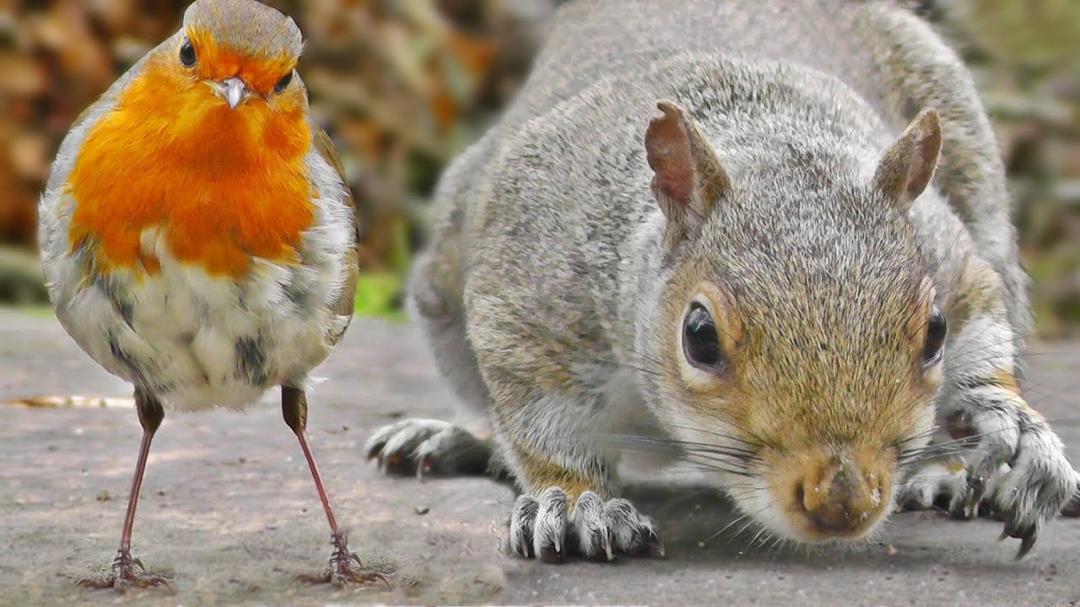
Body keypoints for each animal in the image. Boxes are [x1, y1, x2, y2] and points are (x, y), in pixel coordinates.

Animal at [366, 0, 1078, 560]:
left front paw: (1012, 425)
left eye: (934, 333)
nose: (842, 501)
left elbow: (984, 322)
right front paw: (571, 503)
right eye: (699, 337)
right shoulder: (533, 293)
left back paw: (947, 471)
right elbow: (541, 420)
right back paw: (459, 437)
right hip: (443, 276)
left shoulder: (951, 254)